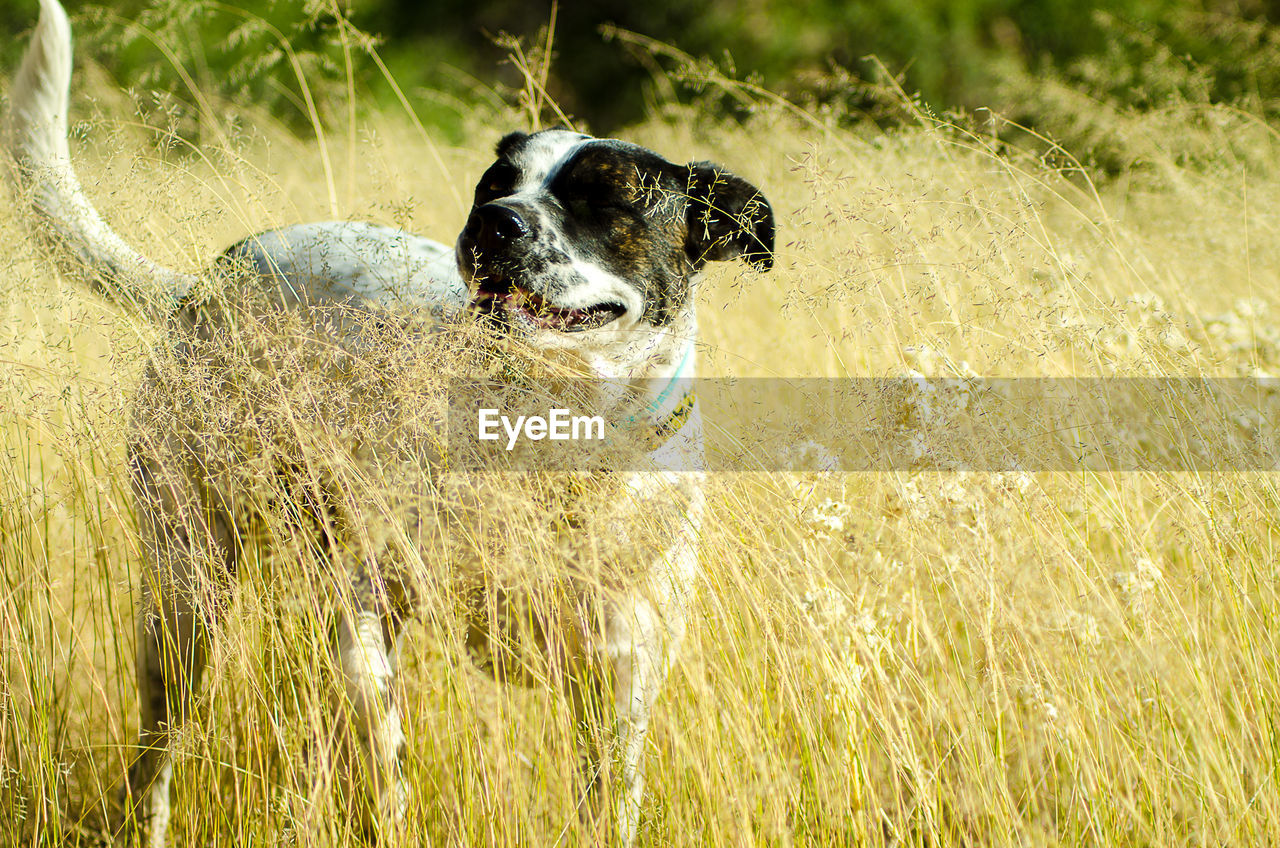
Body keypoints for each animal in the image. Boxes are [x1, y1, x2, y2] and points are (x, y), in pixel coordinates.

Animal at [2, 3, 768, 845]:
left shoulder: (621, 676)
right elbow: (383, 743)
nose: (494, 223)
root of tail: (205, 282)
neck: (550, 435)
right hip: (184, 591)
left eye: (605, 199)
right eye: (495, 183)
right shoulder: (371, 605)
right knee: (159, 754)